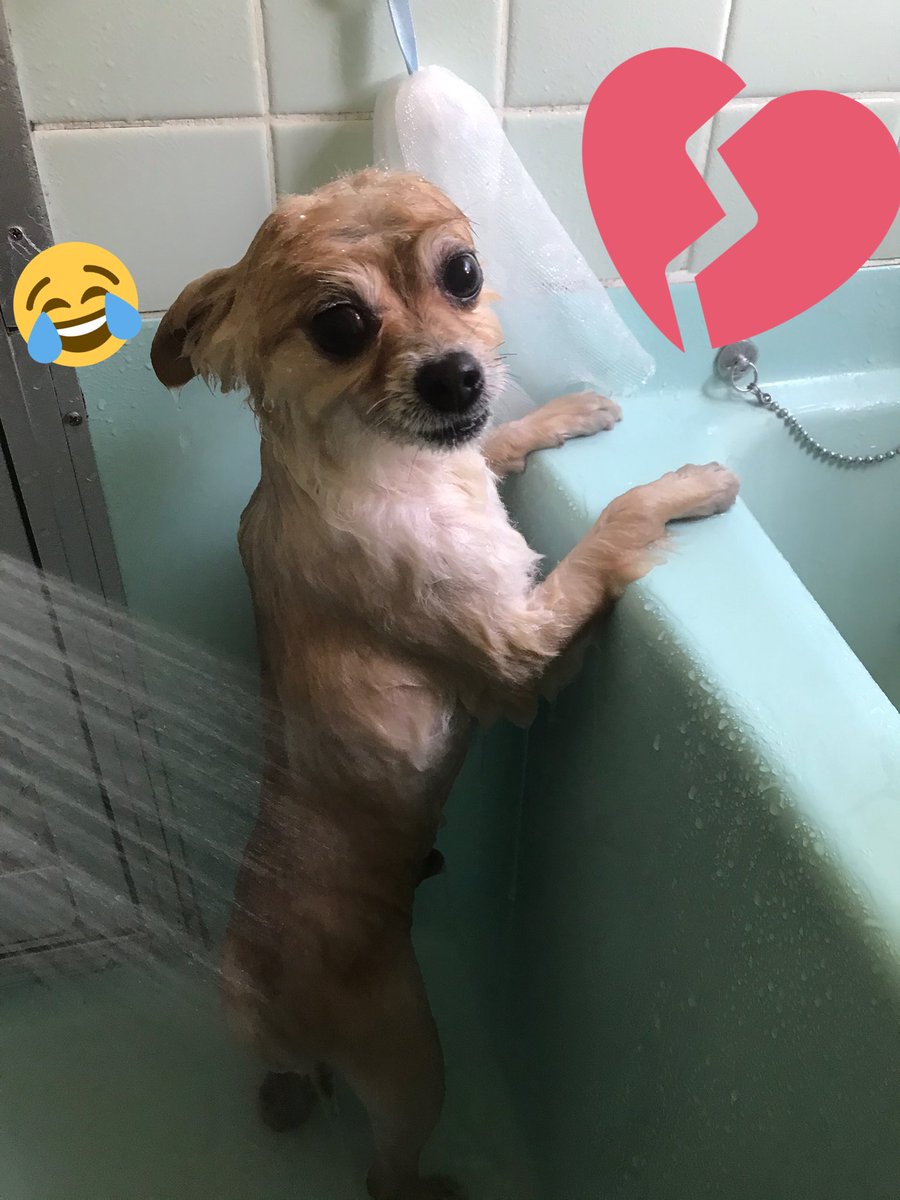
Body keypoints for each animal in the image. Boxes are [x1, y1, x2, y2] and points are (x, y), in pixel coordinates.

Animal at [151, 168, 738, 1200]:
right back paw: (432, 1185)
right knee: (386, 1169)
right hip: (411, 1059)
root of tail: (251, 996)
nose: (457, 375)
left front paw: (568, 413)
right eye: (340, 325)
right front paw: (685, 486)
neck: (389, 473)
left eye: (461, 273)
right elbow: (612, 531)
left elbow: (495, 446)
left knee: (288, 1090)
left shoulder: (474, 466)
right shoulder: (521, 650)